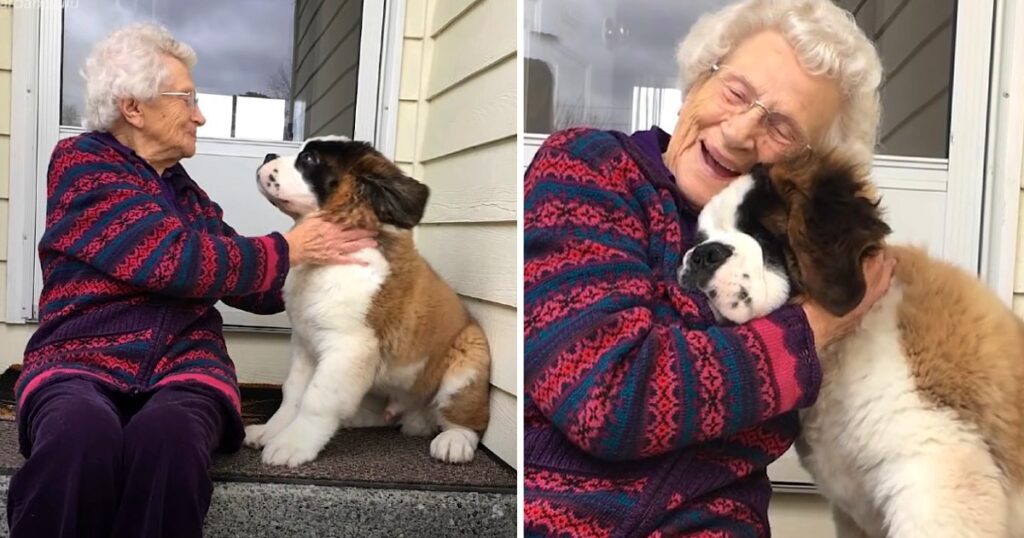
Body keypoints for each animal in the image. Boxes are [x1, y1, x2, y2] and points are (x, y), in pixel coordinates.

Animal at [243, 135, 491, 465]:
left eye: (309, 159)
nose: (268, 155)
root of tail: (416, 416)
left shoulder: (348, 349)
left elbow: (316, 399)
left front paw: (292, 445)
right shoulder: (305, 345)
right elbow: (293, 393)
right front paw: (272, 431)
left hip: (468, 359)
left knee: (466, 419)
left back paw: (454, 441)